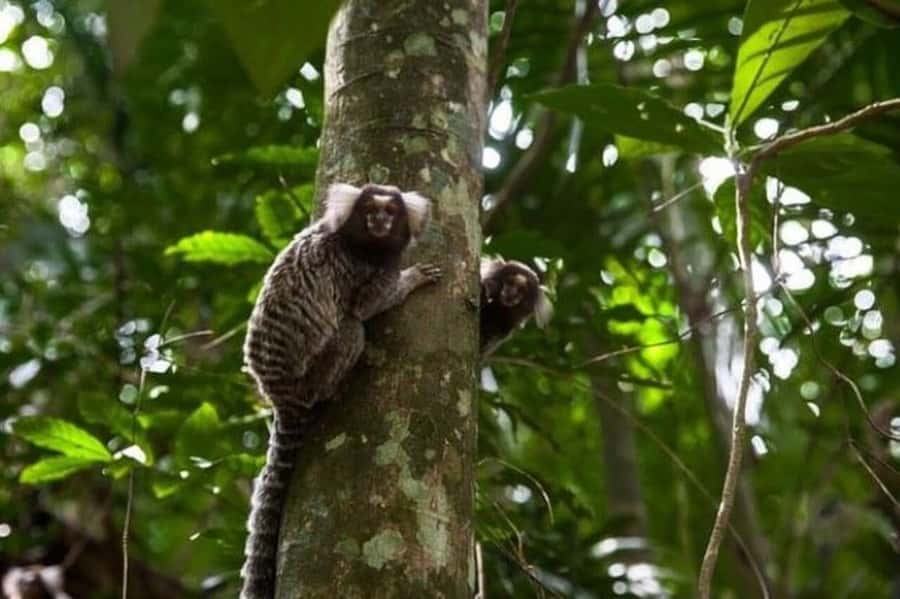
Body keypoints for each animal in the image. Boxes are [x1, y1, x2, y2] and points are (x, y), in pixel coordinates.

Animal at [240, 183, 441, 599]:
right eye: (370, 210)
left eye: (390, 212)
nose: (379, 222)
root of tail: (280, 395)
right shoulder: (370, 269)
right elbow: (366, 307)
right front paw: (412, 279)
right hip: (314, 374)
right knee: (351, 329)